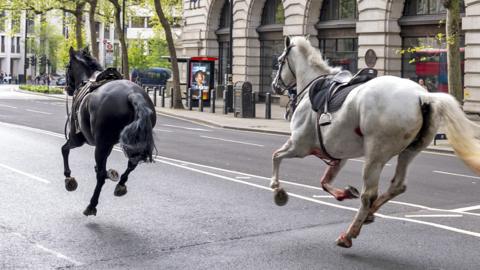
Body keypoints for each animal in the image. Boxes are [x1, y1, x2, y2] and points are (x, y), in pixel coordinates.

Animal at [62, 46, 157, 215]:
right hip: (131, 141)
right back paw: (120, 184)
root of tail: (133, 94)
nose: (67, 88)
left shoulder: (77, 138)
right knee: (132, 163)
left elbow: (64, 149)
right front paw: (110, 174)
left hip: (100, 144)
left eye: (68, 67)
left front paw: (68, 178)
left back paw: (91, 205)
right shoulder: (110, 144)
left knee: (100, 176)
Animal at [270, 36, 480, 249]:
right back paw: (369, 214)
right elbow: (324, 182)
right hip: (409, 151)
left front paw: (278, 190)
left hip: (375, 154)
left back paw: (349, 234)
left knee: (369, 195)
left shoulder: (299, 145)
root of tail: (423, 96)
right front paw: (344, 193)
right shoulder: (338, 154)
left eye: (279, 62)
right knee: (397, 186)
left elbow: (276, 156)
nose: (274, 86)